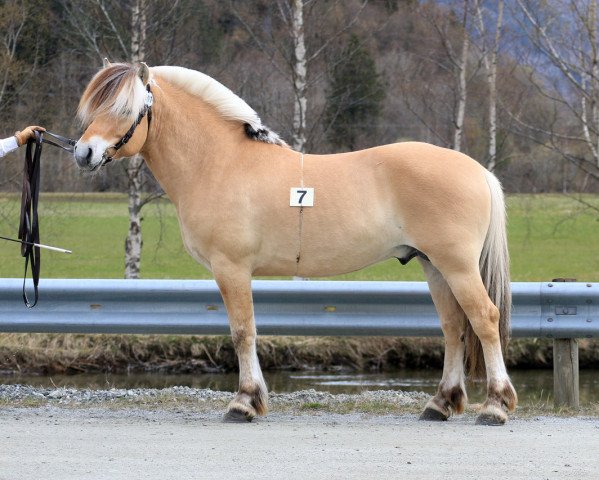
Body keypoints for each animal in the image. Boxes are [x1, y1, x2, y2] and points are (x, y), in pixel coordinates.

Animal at [74, 62, 516, 426]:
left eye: (124, 110)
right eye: (93, 108)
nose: (83, 153)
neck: (218, 162)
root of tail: (478, 170)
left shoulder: (231, 269)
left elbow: (243, 332)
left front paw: (244, 403)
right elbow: (247, 332)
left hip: (456, 266)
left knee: (484, 319)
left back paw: (494, 406)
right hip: (433, 265)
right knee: (453, 327)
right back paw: (440, 404)